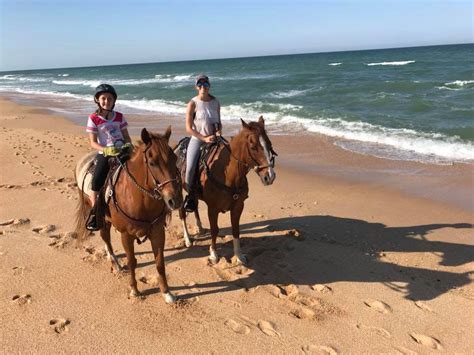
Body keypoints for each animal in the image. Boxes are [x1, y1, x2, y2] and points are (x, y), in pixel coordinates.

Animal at [76, 127, 183, 304]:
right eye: (152, 163)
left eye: (175, 159)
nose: (175, 200)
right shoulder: (126, 235)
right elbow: (132, 262)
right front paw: (134, 290)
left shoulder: (157, 232)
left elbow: (160, 263)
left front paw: (167, 293)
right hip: (98, 215)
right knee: (105, 237)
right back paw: (115, 263)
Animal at [178, 117, 276, 264]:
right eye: (253, 147)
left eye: (269, 144)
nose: (270, 176)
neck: (227, 174)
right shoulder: (212, 208)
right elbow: (215, 230)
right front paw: (213, 254)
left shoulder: (238, 206)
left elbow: (235, 230)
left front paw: (239, 256)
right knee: (182, 212)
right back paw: (188, 239)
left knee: (194, 207)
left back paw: (200, 227)